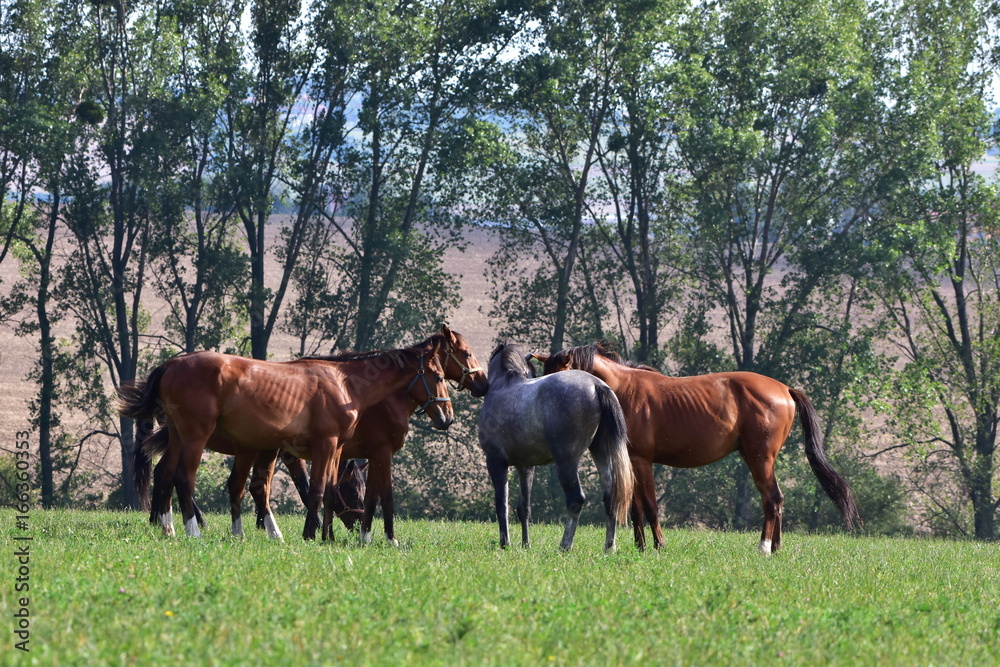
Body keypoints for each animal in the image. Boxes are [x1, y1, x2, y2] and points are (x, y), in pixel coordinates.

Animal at [116, 342, 454, 540]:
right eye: (438, 376)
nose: (447, 416)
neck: (344, 383)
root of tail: (170, 365)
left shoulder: (331, 449)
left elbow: (327, 491)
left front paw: (322, 535)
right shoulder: (323, 446)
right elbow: (314, 490)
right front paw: (310, 534)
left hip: (178, 436)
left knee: (165, 475)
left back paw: (168, 527)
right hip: (194, 438)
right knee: (183, 479)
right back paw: (193, 530)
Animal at [476, 344, 632, 552]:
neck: (502, 384)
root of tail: (597, 386)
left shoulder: (495, 462)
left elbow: (502, 504)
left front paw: (505, 543)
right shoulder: (526, 466)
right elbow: (524, 508)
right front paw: (526, 544)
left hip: (566, 461)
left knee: (575, 499)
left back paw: (565, 545)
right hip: (601, 453)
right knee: (610, 496)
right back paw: (609, 546)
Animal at [540, 342, 860, 556]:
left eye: (558, 376)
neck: (624, 390)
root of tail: (785, 389)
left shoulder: (643, 461)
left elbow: (651, 506)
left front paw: (658, 545)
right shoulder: (630, 460)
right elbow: (636, 507)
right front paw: (640, 546)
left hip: (760, 458)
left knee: (772, 499)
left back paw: (764, 546)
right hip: (758, 458)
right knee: (776, 500)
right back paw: (777, 547)